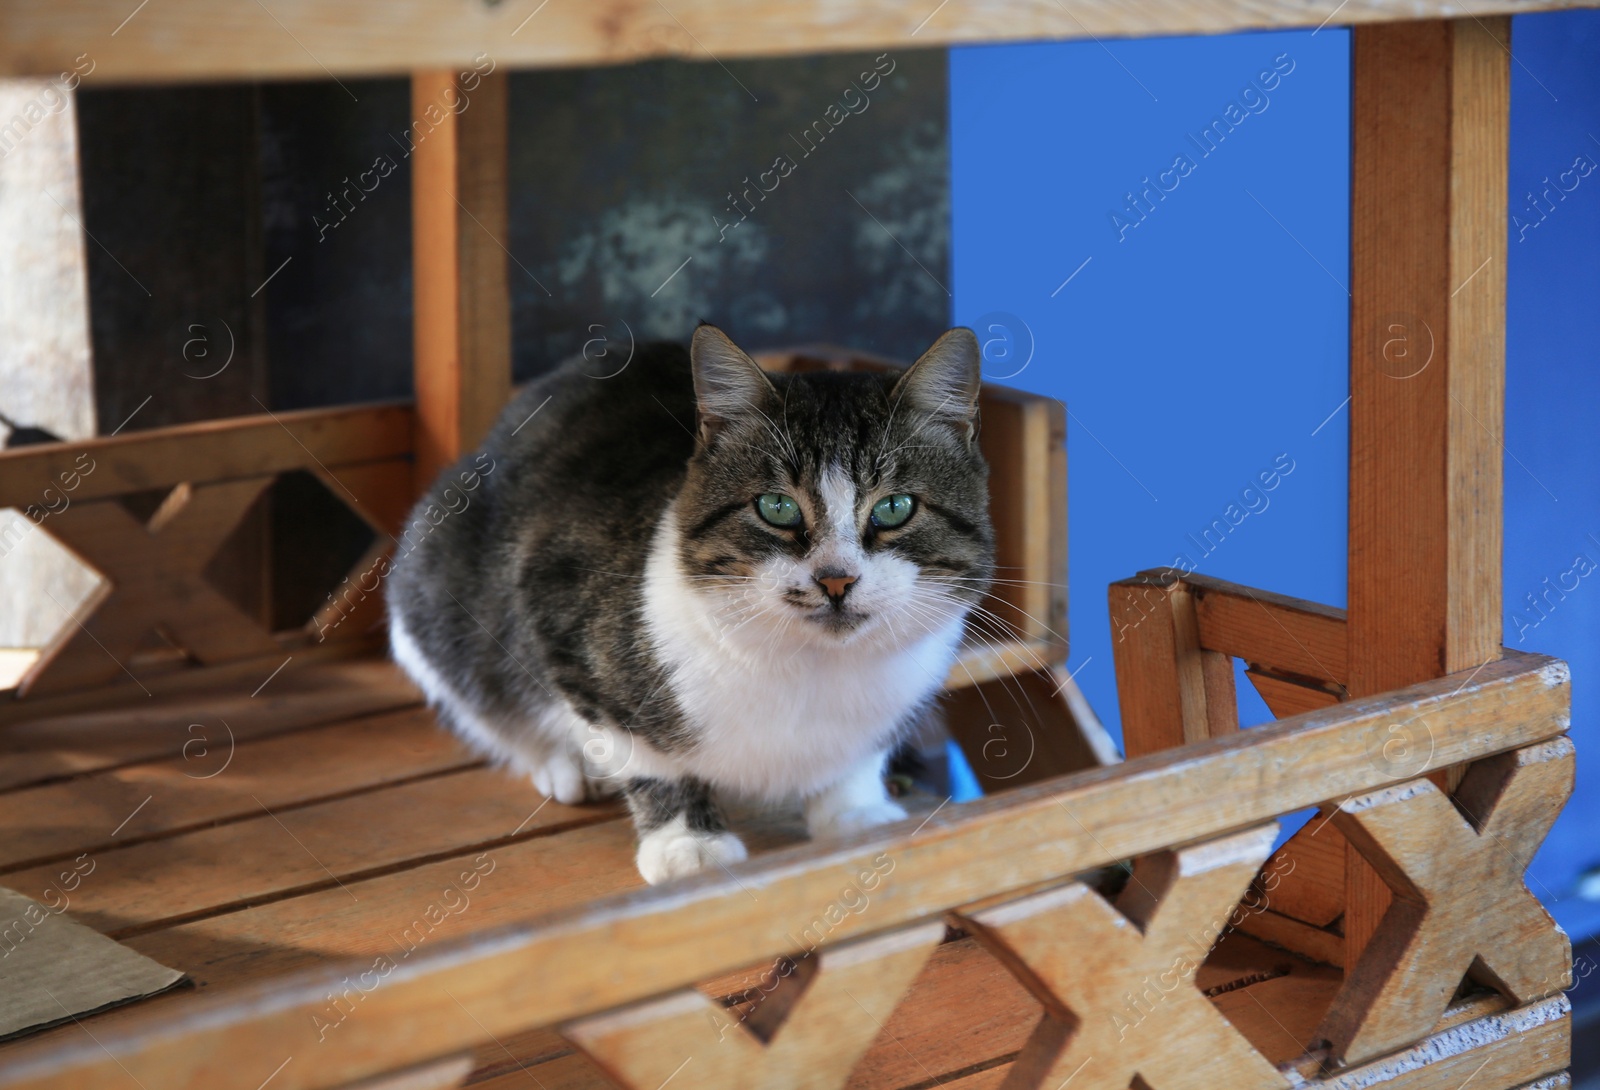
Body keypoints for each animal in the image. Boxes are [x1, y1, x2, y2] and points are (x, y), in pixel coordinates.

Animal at [390, 324, 985, 883]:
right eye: (776, 506)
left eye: (895, 507)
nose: (836, 580)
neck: (813, 669)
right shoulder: (560, 618)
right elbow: (648, 755)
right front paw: (687, 843)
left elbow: (860, 754)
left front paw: (855, 813)